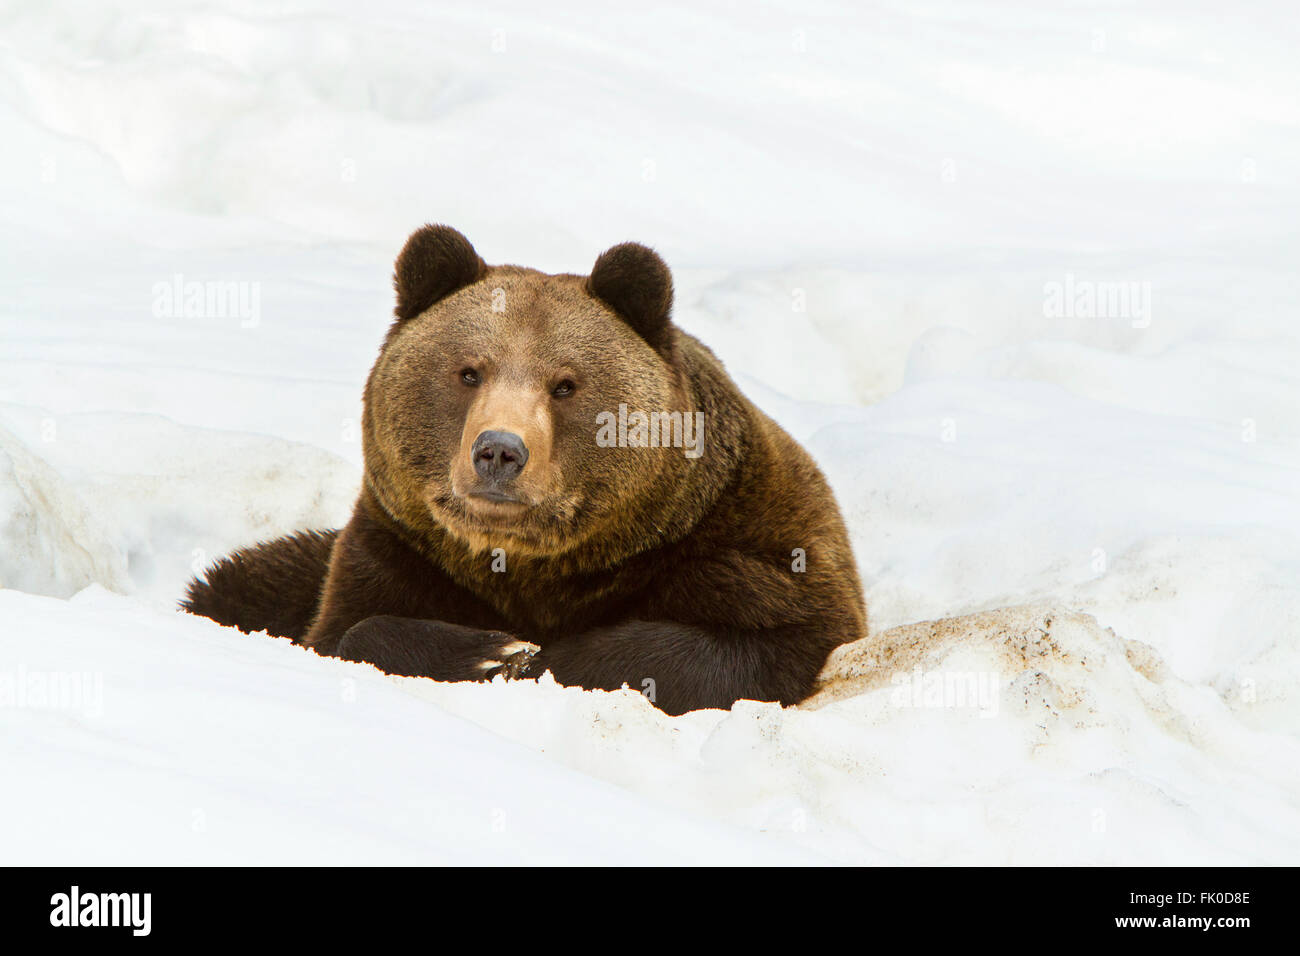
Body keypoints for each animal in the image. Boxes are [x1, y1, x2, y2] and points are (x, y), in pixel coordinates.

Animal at [182, 225, 866, 715]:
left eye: (564, 384)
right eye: (468, 371)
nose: (499, 451)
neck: (538, 565)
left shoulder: (746, 547)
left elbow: (750, 644)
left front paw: (533, 656)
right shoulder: (399, 549)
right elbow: (347, 630)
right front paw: (489, 651)